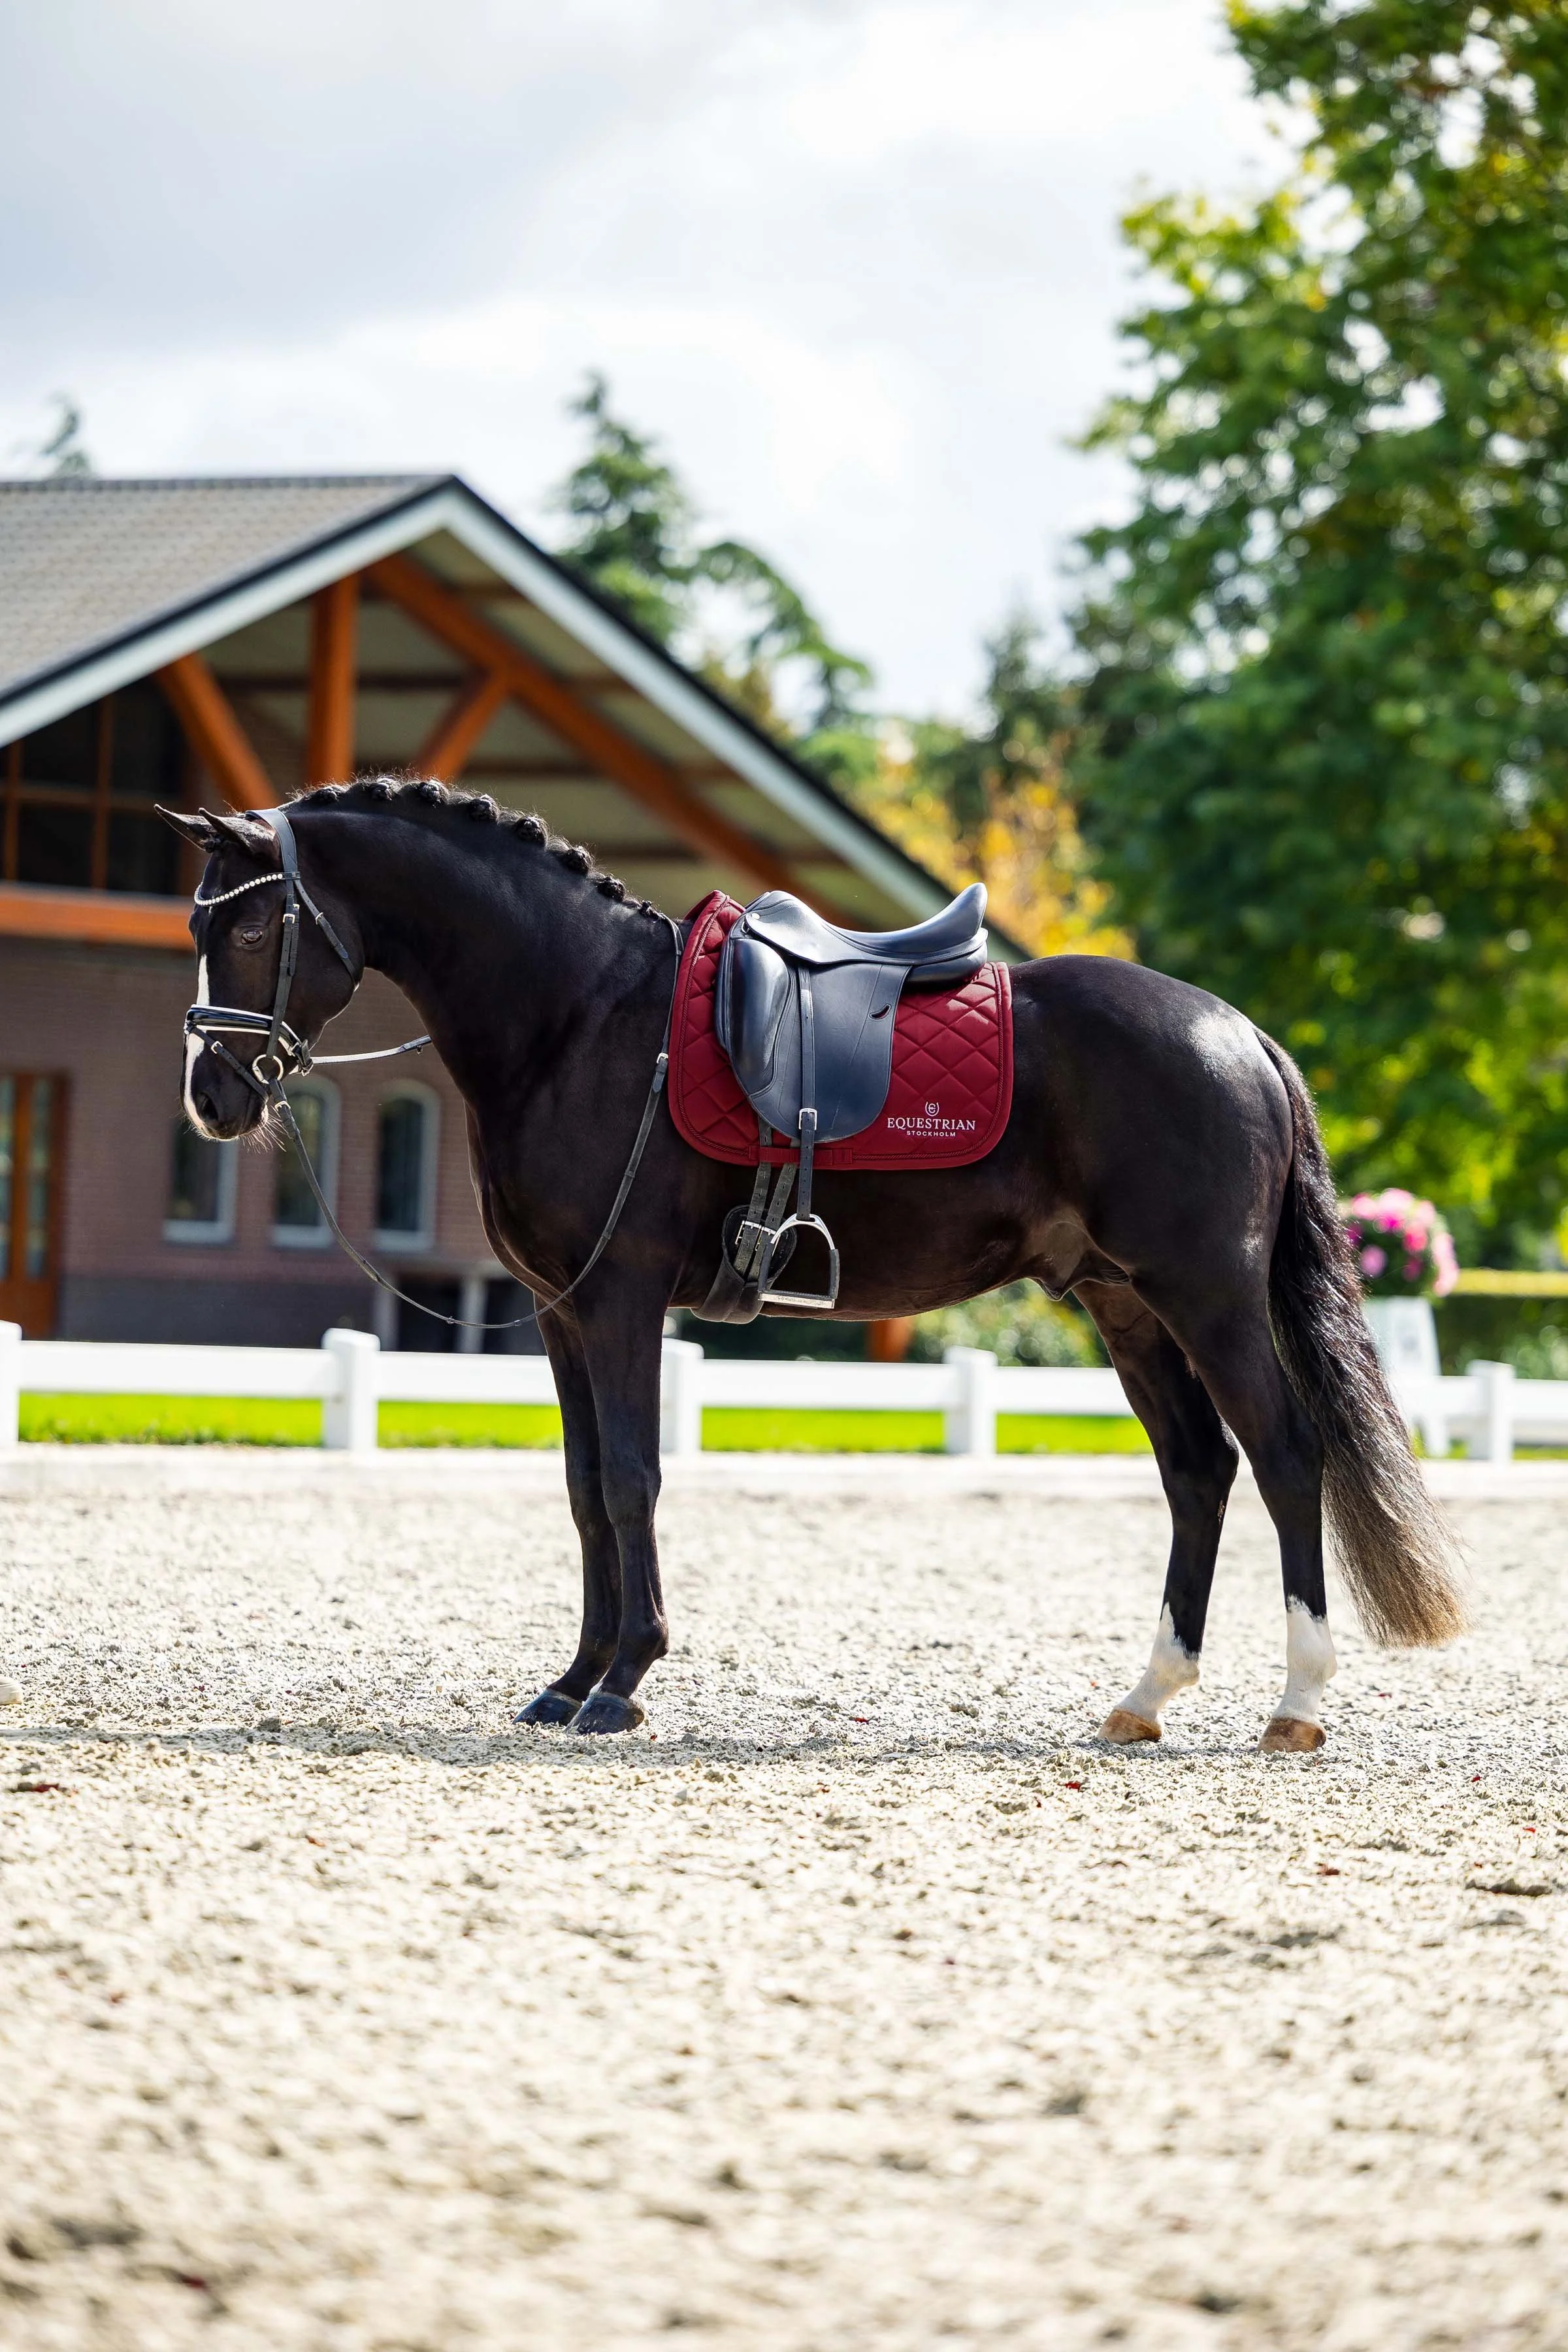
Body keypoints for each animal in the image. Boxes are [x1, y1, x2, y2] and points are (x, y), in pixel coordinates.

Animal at [161, 779, 1467, 1745]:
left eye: (253, 923)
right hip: (1122, 1303)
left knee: (1285, 1456)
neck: (582, 1019)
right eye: (194, 925)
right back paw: (1146, 1697)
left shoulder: (625, 1300)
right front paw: (570, 1681)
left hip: (1206, 1295)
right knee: (1198, 1471)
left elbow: (630, 1480)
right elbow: (584, 1491)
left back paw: (1296, 1703)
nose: (213, 1100)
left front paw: (623, 1684)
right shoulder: (563, 1314)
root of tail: (1238, 1033)